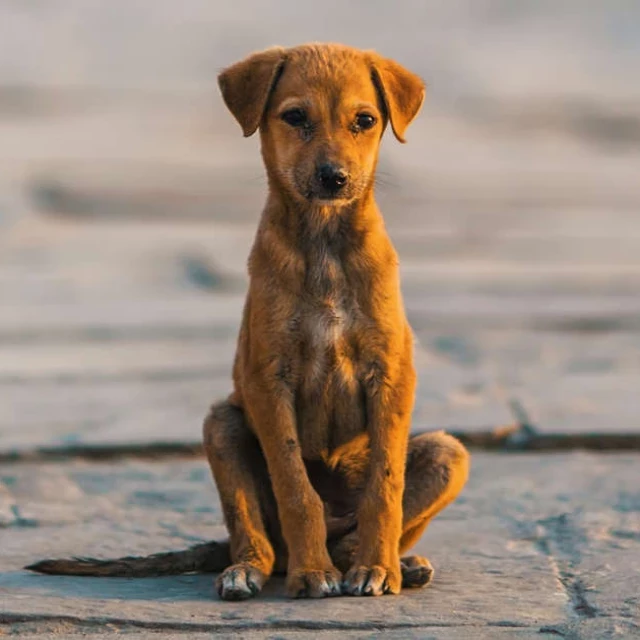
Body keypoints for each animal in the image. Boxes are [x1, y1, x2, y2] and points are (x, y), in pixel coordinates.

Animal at [26, 43, 470, 600]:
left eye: (365, 121)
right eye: (295, 117)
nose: (334, 178)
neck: (324, 243)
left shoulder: (390, 374)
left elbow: (384, 487)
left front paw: (377, 567)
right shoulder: (267, 380)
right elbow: (295, 487)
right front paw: (313, 573)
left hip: (448, 452)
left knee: (362, 523)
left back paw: (391, 562)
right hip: (223, 424)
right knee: (256, 538)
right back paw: (253, 569)